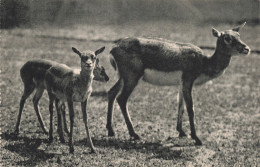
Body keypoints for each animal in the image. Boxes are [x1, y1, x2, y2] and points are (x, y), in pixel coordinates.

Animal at [106, 22, 251, 145]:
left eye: (239, 35)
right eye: (227, 38)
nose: (247, 49)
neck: (204, 62)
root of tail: (114, 48)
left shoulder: (181, 84)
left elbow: (180, 106)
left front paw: (181, 132)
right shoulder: (187, 81)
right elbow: (190, 108)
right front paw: (196, 138)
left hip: (123, 77)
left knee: (111, 92)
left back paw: (110, 130)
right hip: (132, 78)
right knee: (121, 99)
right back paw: (134, 134)